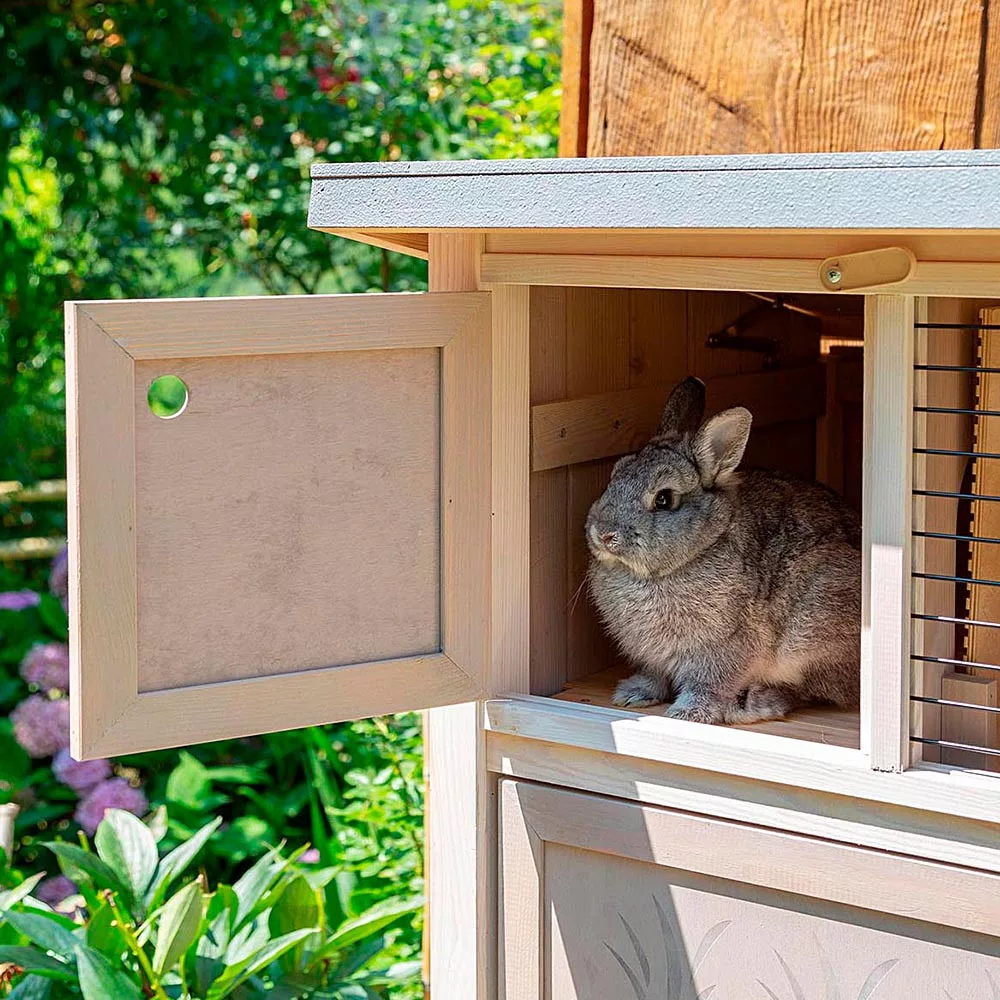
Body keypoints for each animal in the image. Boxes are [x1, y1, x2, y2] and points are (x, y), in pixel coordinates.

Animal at [584, 374, 860, 720]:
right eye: (615, 474)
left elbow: (708, 682)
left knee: (815, 689)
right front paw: (633, 694)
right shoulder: (652, 657)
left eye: (664, 499)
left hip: (816, 621)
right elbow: (654, 676)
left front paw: (687, 714)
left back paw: (754, 703)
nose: (604, 534)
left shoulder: (723, 647)